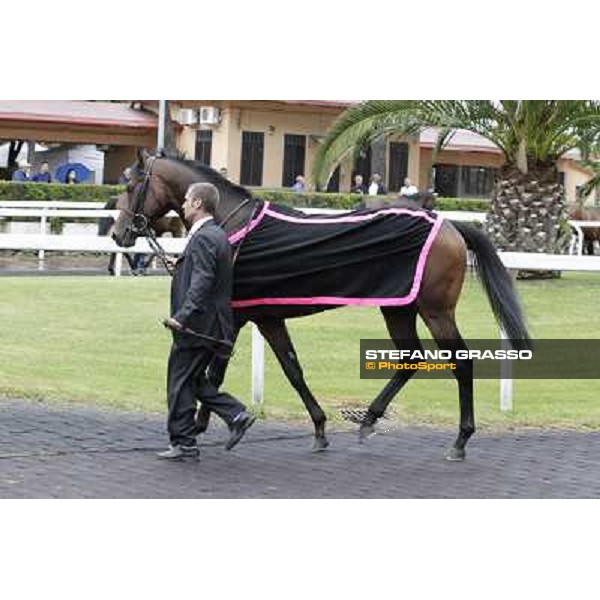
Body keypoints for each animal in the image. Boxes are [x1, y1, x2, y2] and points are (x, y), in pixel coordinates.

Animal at [112, 152, 528, 462]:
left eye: (130, 185)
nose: (119, 234)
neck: (233, 224)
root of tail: (450, 225)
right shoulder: (266, 317)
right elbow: (291, 369)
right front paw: (318, 429)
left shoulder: (236, 315)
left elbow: (214, 372)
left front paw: (203, 426)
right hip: (397, 307)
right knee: (409, 357)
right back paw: (368, 420)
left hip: (436, 310)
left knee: (461, 362)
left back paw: (460, 440)